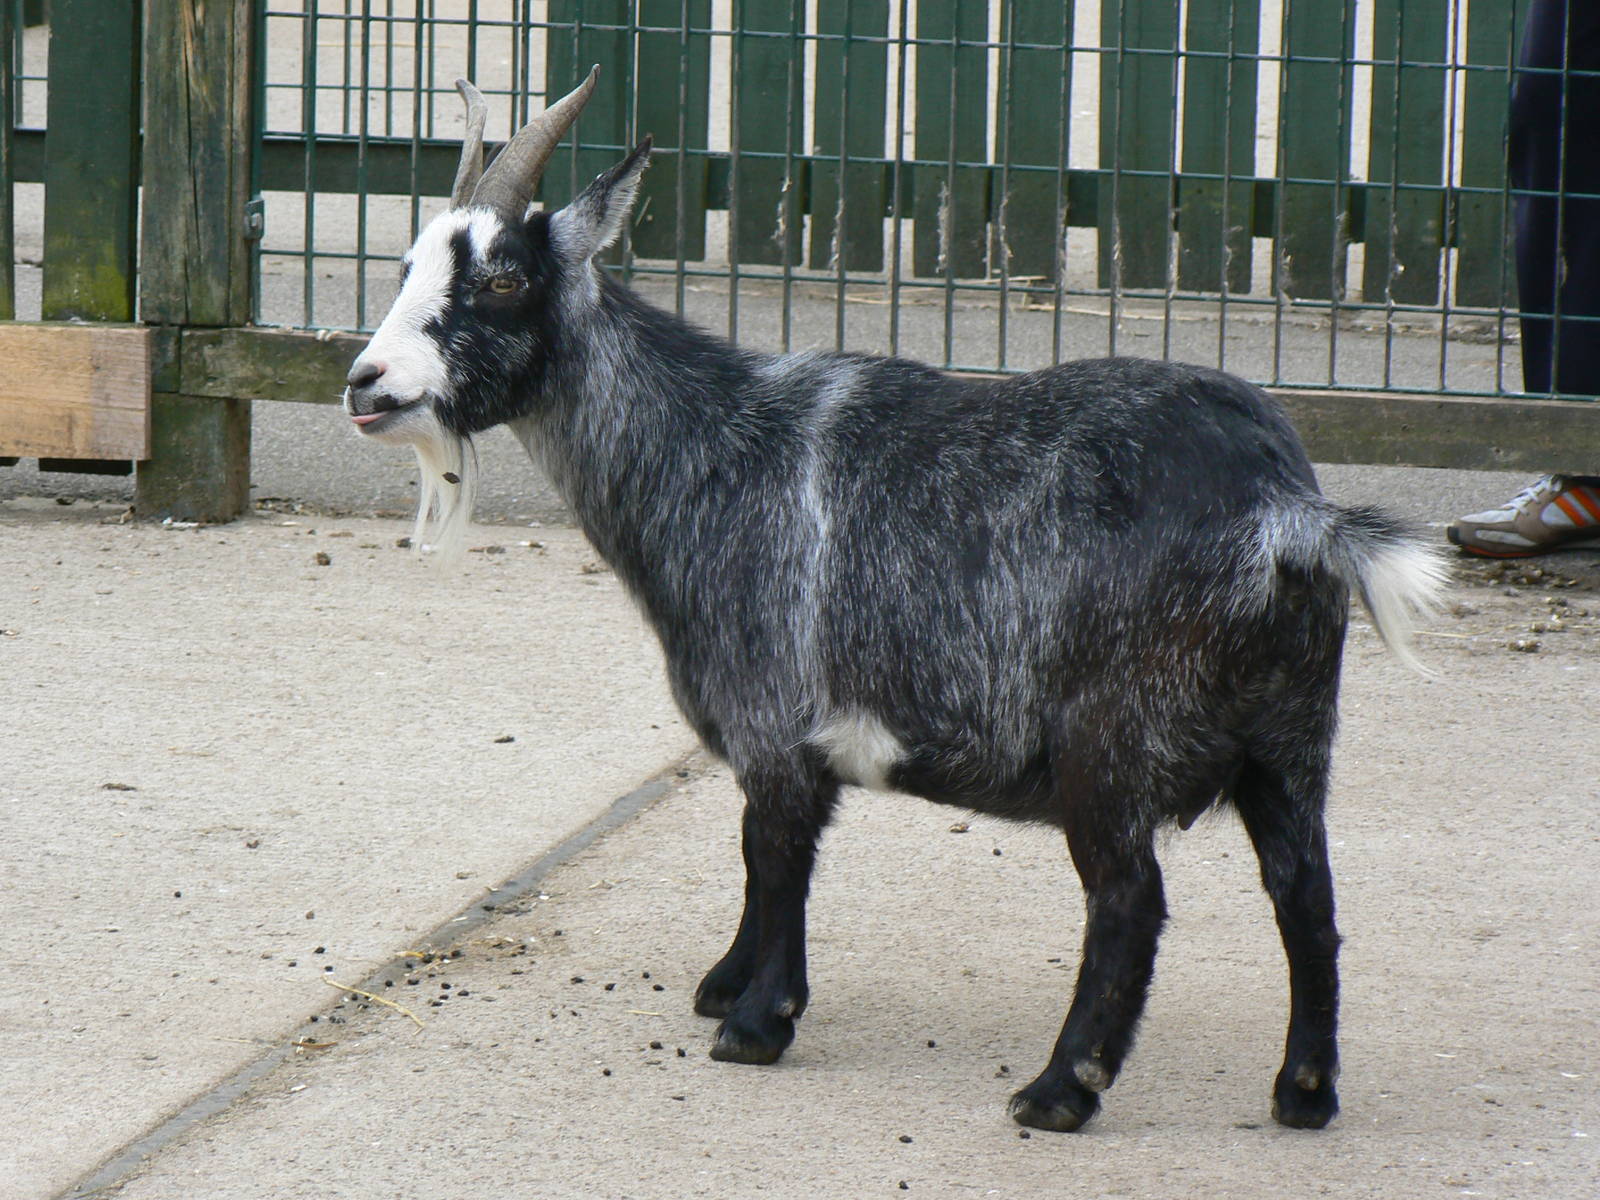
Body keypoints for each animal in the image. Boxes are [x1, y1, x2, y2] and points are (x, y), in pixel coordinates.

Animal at [344, 71, 1446, 1132]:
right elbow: (762, 860)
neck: (708, 445)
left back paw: (1058, 1091)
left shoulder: (773, 720)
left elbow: (775, 851)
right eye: (405, 268)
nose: (367, 382)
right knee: (1306, 901)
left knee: (1129, 900)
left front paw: (755, 1022)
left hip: (1113, 740)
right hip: (1292, 738)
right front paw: (729, 982)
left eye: (502, 277)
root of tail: (1284, 509)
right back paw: (1303, 1092)